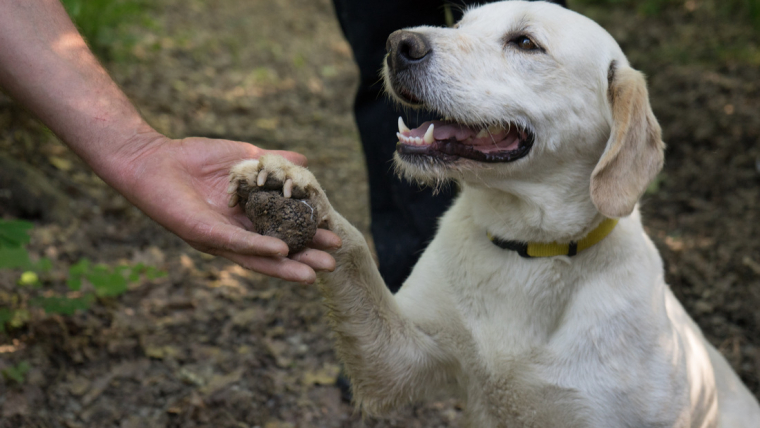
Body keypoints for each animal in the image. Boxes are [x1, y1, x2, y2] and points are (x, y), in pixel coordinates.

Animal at [230, 1, 760, 426]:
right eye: (461, 23)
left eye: (525, 43)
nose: (399, 44)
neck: (529, 248)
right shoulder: (400, 361)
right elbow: (354, 249)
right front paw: (292, 184)